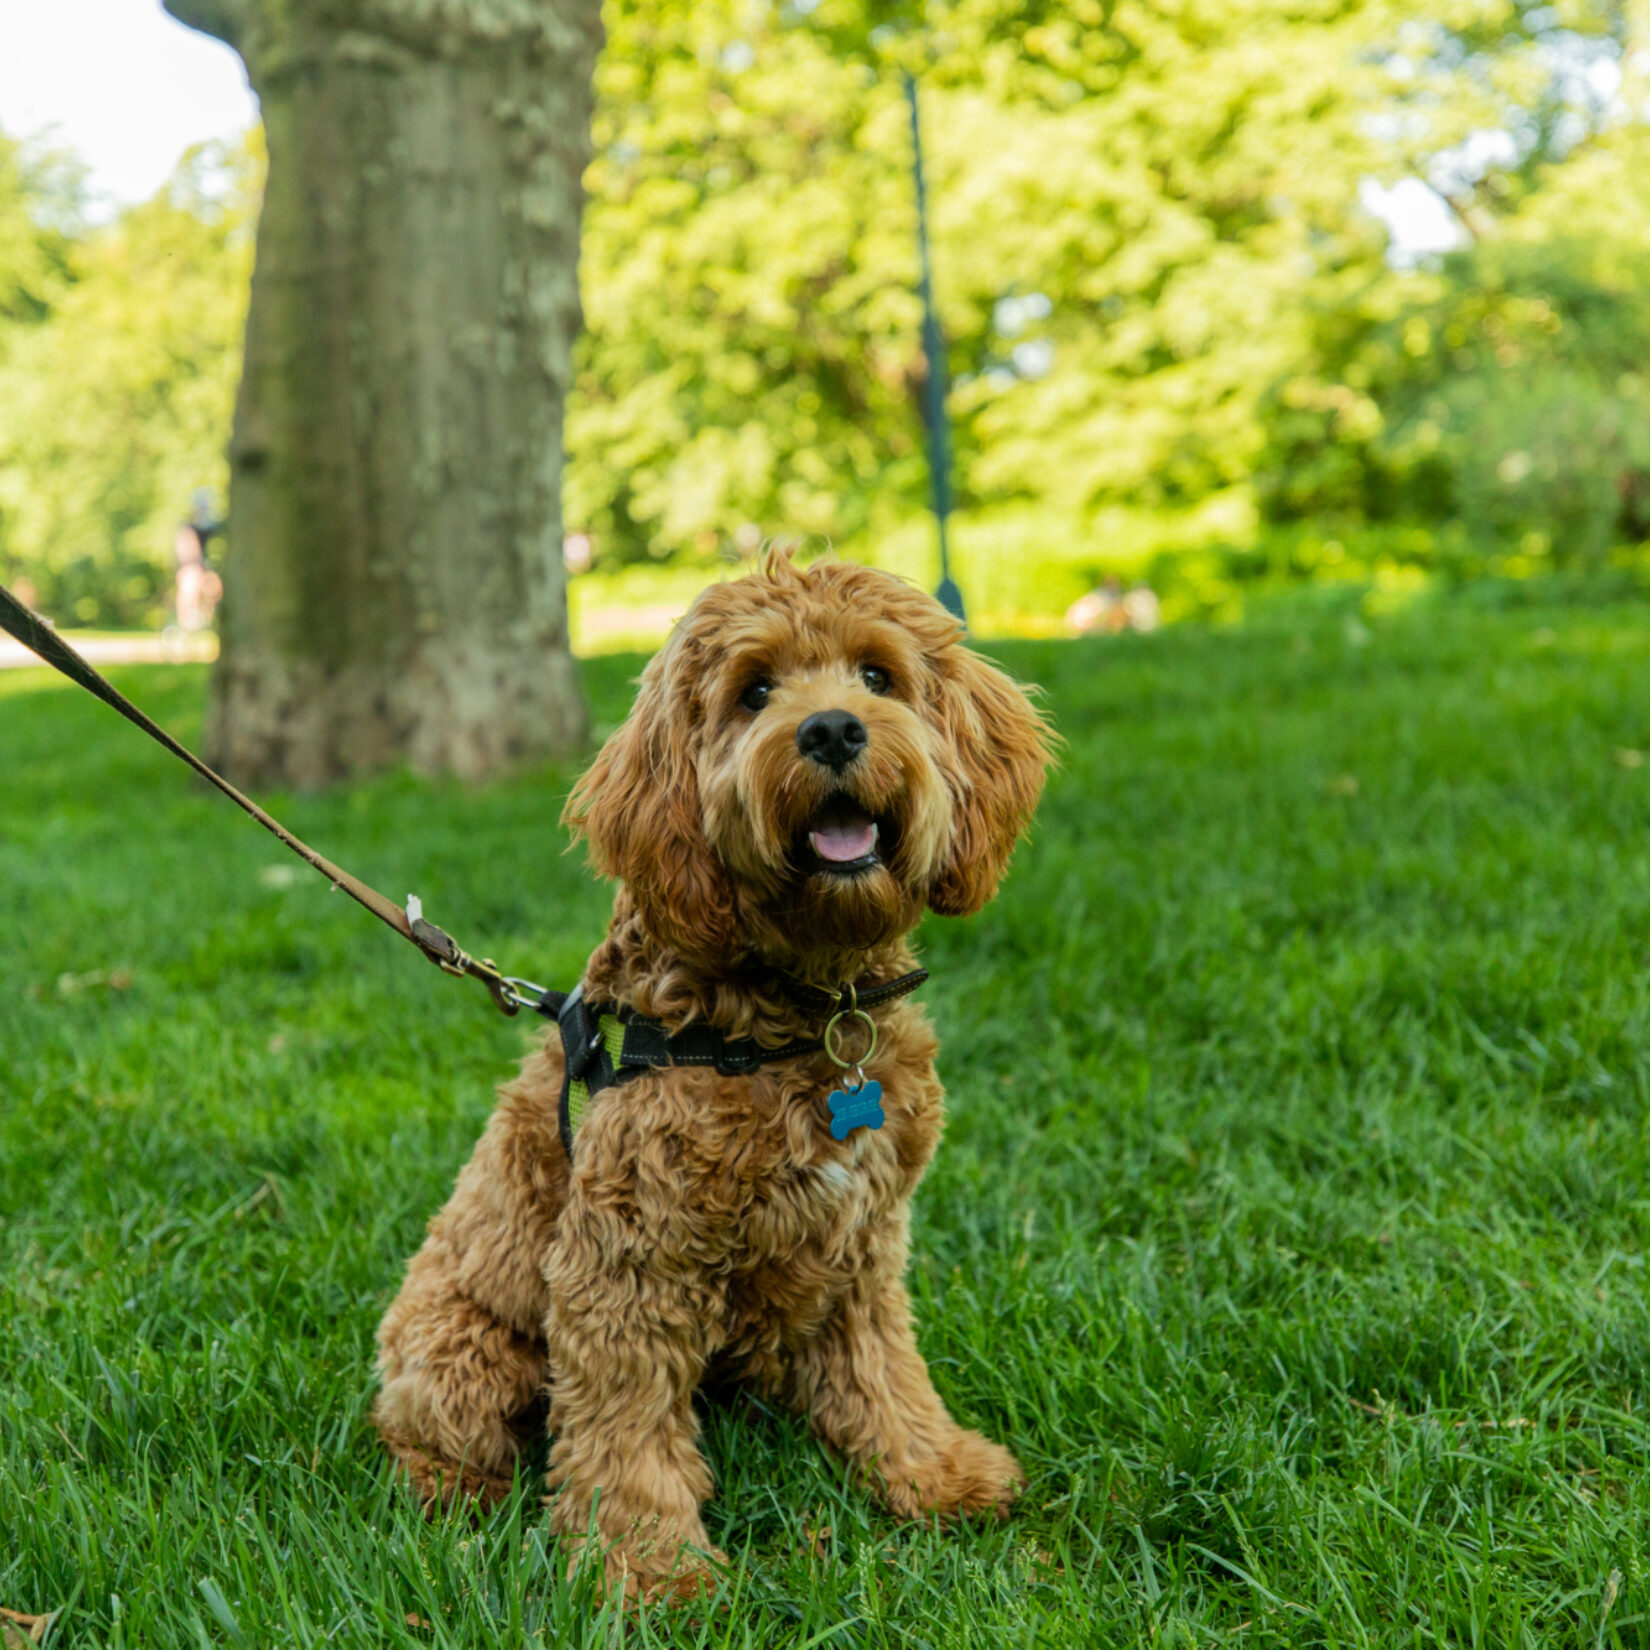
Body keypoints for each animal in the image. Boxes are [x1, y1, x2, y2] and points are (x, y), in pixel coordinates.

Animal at [369, 551, 1049, 1597]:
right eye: (754, 691)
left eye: (878, 675)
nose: (831, 728)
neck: (794, 1012)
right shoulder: (626, 1263)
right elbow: (625, 1431)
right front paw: (649, 1570)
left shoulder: (864, 1244)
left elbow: (885, 1370)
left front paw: (931, 1471)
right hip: (459, 1352)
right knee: (433, 1438)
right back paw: (460, 1495)